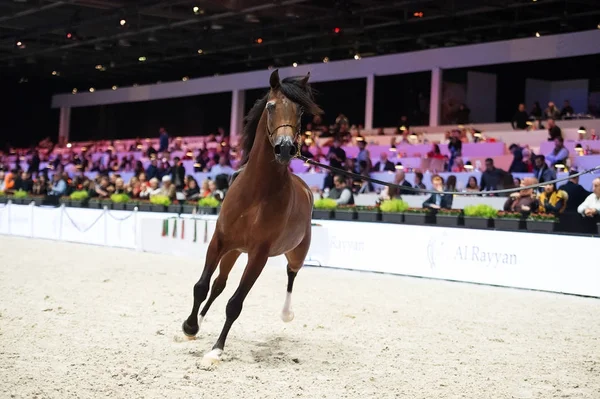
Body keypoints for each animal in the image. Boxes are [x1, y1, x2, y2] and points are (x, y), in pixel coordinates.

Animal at [182, 69, 324, 366]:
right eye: (270, 106)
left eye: (300, 111)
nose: (285, 149)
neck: (256, 193)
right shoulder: (220, 241)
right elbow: (202, 286)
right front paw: (190, 327)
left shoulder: (259, 254)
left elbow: (235, 304)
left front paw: (216, 350)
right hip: (234, 250)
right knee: (219, 284)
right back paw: (201, 319)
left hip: (296, 253)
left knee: (291, 274)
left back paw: (286, 313)